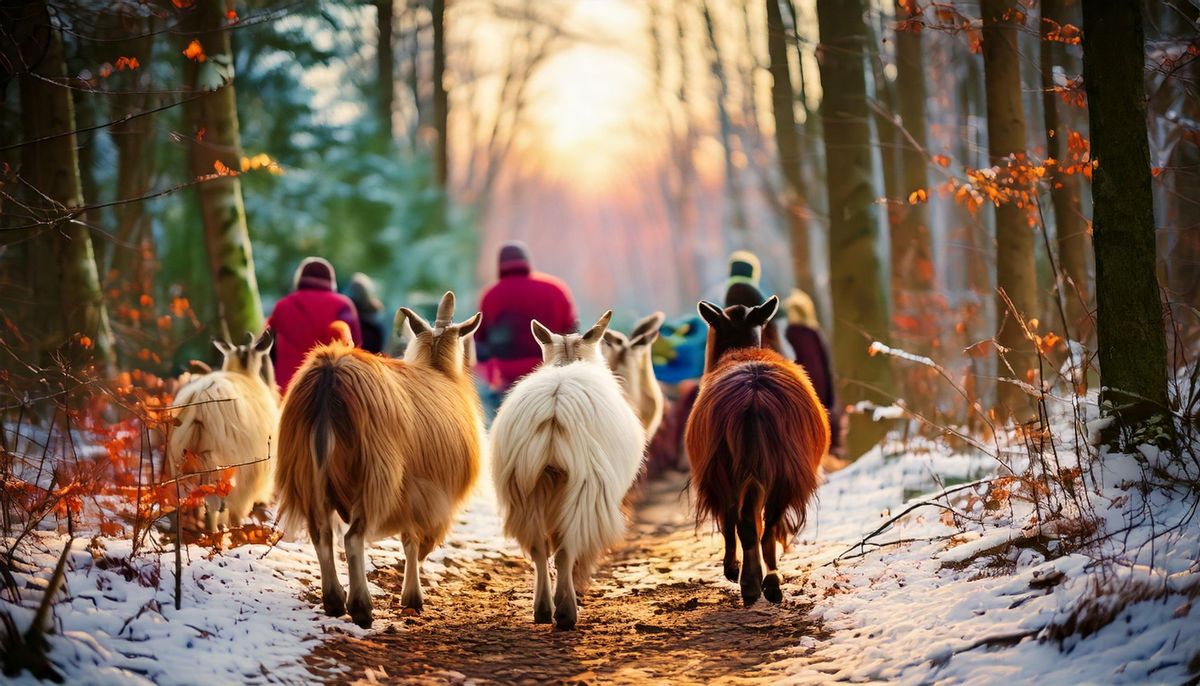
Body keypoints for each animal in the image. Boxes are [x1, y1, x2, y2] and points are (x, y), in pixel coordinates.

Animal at [276, 289, 482, 628]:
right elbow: (413, 541)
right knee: (352, 538)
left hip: (305, 473)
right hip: (376, 476)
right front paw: (412, 596)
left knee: (321, 535)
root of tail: (330, 378)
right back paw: (361, 607)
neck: (438, 369)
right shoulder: (425, 492)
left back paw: (334, 601)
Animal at [489, 311, 648, 628]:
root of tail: (554, 411)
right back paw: (566, 611)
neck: (567, 359)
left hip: (522, 486)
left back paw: (542, 610)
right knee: (567, 546)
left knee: (538, 548)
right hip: (585, 485)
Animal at [686, 296, 825, 604]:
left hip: (729, 469)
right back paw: (767, 581)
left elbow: (730, 523)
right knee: (765, 523)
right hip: (782, 469)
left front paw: (732, 569)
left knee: (744, 522)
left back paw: (751, 581)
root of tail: (754, 398)